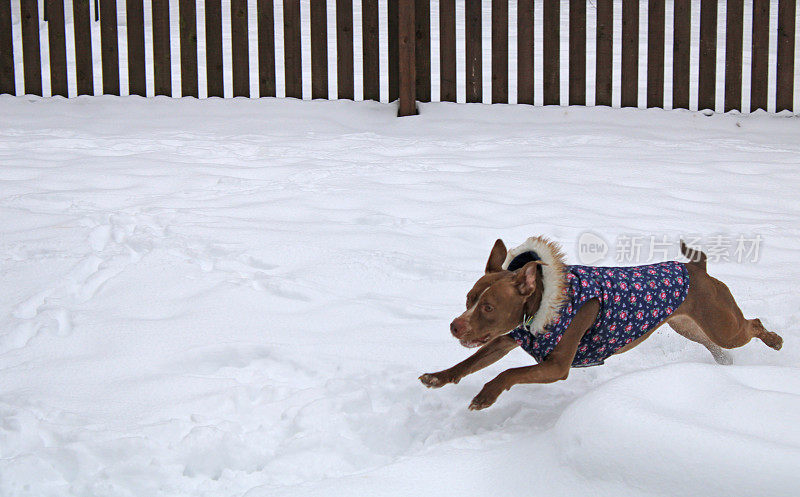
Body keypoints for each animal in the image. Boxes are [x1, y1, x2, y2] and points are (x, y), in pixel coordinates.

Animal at [422, 236, 784, 410]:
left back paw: (776, 341)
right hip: (689, 324)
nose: (455, 325)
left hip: (724, 324)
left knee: (752, 324)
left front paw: (485, 397)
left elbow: (507, 373)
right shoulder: (508, 338)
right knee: (715, 344)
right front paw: (438, 377)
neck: (542, 304)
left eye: (488, 307)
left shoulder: (556, 366)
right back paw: (725, 363)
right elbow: (471, 361)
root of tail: (697, 267)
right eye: (468, 299)